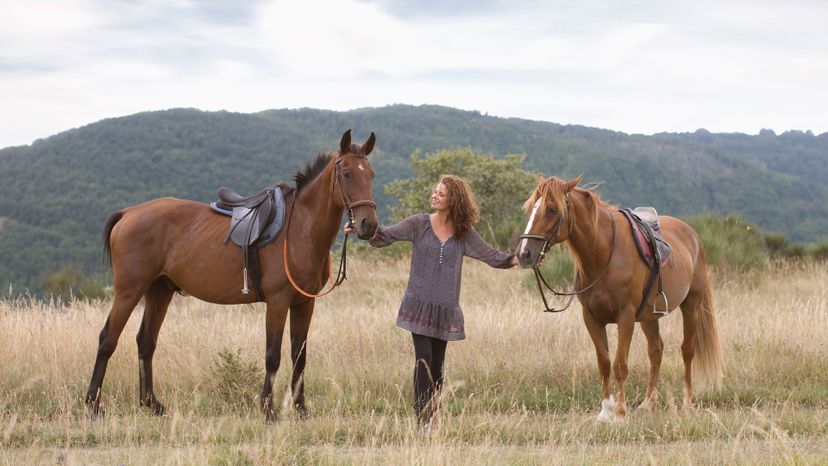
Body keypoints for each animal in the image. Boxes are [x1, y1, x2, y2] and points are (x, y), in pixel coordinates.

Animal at [85, 130, 378, 421]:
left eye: (371, 174)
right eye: (346, 174)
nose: (368, 225)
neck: (299, 230)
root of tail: (128, 213)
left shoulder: (305, 303)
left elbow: (300, 356)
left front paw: (301, 409)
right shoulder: (278, 302)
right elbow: (273, 355)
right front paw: (268, 410)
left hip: (159, 292)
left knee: (146, 342)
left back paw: (152, 404)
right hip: (129, 292)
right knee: (108, 339)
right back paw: (94, 405)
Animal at [516, 174, 723, 421]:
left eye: (551, 209)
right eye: (531, 207)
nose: (524, 253)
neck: (604, 255)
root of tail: (693, 236)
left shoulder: (625, 317)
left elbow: (620, 364)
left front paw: (620, 411)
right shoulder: (592, 318)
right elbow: (604, 363)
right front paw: (605, 411)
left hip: (691, 305)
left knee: (687, 351)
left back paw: (687, 403)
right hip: (649, 317)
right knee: (656, 351)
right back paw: (647, 403)